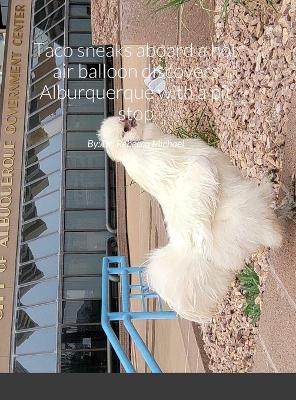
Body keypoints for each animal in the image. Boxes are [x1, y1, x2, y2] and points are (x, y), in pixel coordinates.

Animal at [99, 114, 282, 324]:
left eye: (123, 122)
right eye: (125, 130)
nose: (129, 117)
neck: (139, 144)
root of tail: (187, 249)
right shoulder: (198, 165)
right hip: (243, 212)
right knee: (267, 230)